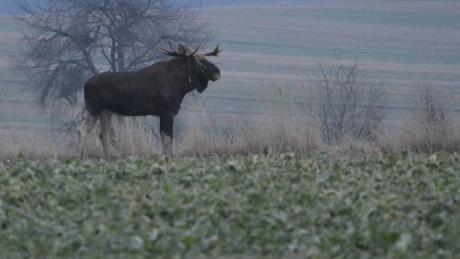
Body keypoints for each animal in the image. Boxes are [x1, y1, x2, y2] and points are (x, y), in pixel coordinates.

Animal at [78, 44, 222, 158]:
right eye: (198, 61)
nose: (217, 72)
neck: (180, 85)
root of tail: (85, 85)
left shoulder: (163, 114)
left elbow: (164, 137)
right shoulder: (167, 112)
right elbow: (168, 138)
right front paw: (167, 157)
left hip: (106, 111)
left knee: (103, 134)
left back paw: (109, 157)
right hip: (93, 108)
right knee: (82, 131)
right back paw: (81, 157)